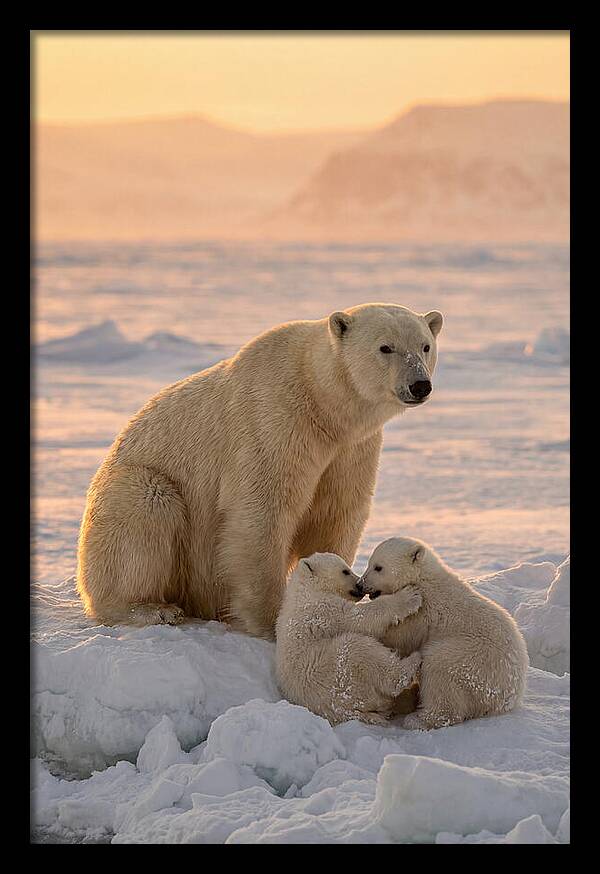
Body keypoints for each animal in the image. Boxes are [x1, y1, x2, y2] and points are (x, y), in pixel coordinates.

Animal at [76, 303, 443, 639]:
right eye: (385, 347)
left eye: (425, 345)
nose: (419, 385)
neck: (321, 403)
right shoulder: (273, 421)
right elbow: (262, 511)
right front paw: (272, 621)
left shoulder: (351, 449)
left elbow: (336, 512)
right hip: (134, 488)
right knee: (146, 508)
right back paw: (152, 609)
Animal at [275, 552, 423, 725]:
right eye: (345, 571)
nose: (359, 585)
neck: (305, 589)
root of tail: (346, 712)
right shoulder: (322, 609)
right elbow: (360, 618)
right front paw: (410, 596)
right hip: (337, 674)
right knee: (360, 651)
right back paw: (413, 660)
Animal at [357, 537, 529, 730]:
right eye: (370, 563)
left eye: (378, 567)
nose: (360, 585)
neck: (422, 578)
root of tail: (508, 698)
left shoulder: (422, 613)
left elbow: (399, 637)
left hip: (473, 660)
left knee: (438, 667)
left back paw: (418, 719)